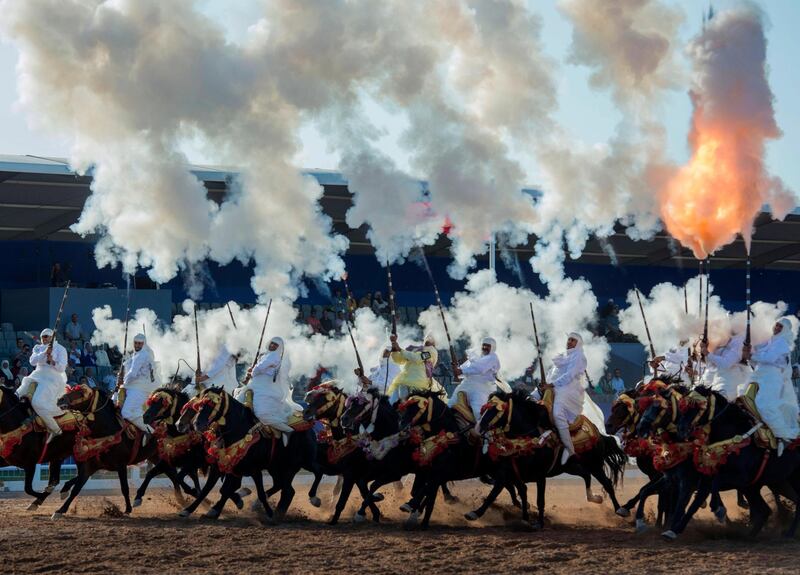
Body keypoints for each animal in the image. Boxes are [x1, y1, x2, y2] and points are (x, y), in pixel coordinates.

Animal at [466, 388, 628, 532]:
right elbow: (498, 493)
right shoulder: (510, 473)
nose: (477, 428)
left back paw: (620, 510)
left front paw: (539, 523)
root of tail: (598, 434)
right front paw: (474, 513)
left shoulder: (540, 476)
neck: (528, 440)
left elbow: (539, 500)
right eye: (484, 409)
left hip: (595, 465)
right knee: (586, 476)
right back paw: (594, 498)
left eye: (496, 410)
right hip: (571, 467)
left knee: (607, 483)